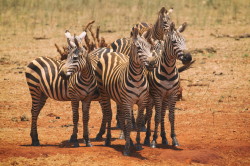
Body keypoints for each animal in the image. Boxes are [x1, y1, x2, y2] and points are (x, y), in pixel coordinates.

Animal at [94, 27, 156, 156]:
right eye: (138, 48)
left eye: (150, 47)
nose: (152, 63)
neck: (137, 78)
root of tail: (112, 52)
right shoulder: (128, 102)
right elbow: (129, 123)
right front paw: (127, 148)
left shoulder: (142, 101)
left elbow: (138, 122)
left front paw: (137, 144)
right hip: (104, 93)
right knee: (108, 114)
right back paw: (108, 139)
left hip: (119, 98)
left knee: (121, 118)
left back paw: (130, 141)